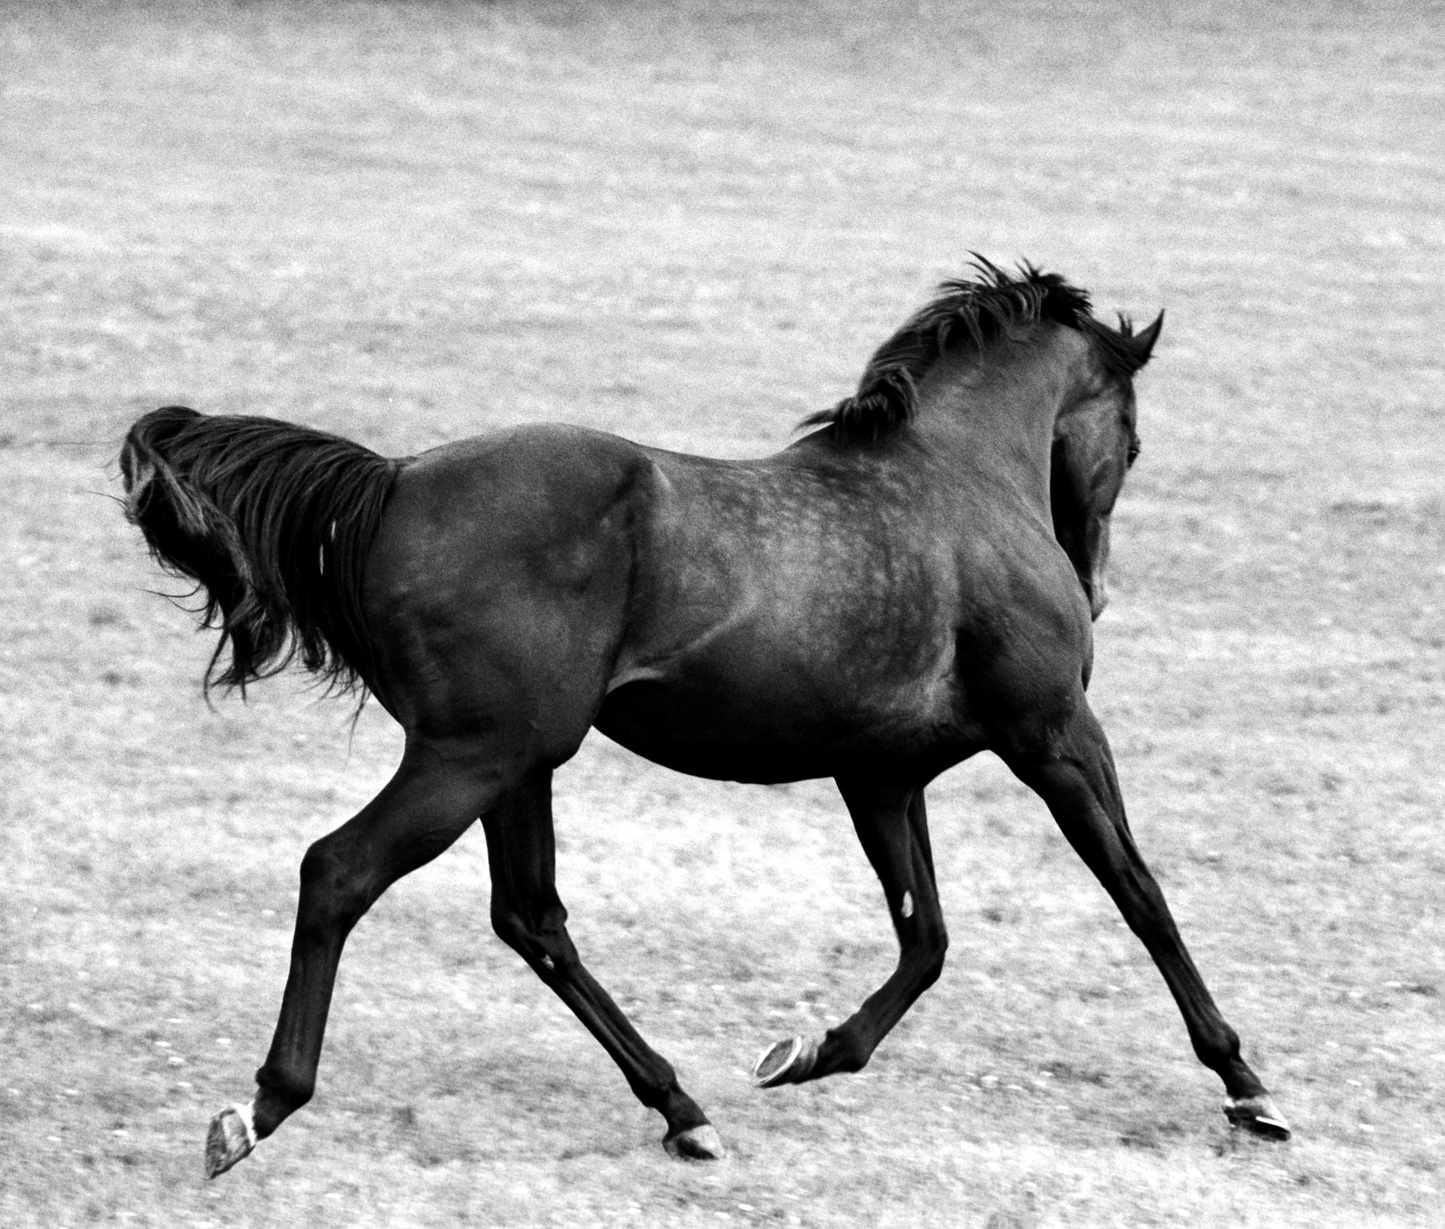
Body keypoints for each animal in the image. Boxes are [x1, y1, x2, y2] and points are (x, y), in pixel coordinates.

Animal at [119, 260, 1290, 1178]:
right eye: (1130, 439)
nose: (1098, 591)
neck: (956, 484)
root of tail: (394, 482)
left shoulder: (880, 773)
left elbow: (926, 938)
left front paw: (803, 1051)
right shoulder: (1053, 734)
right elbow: (1139, 894)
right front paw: (1247, 1084)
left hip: (517, 762)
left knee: (531, 918)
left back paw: (684, 1110)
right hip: (472, 757)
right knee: (341, 870)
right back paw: (256, 1109)